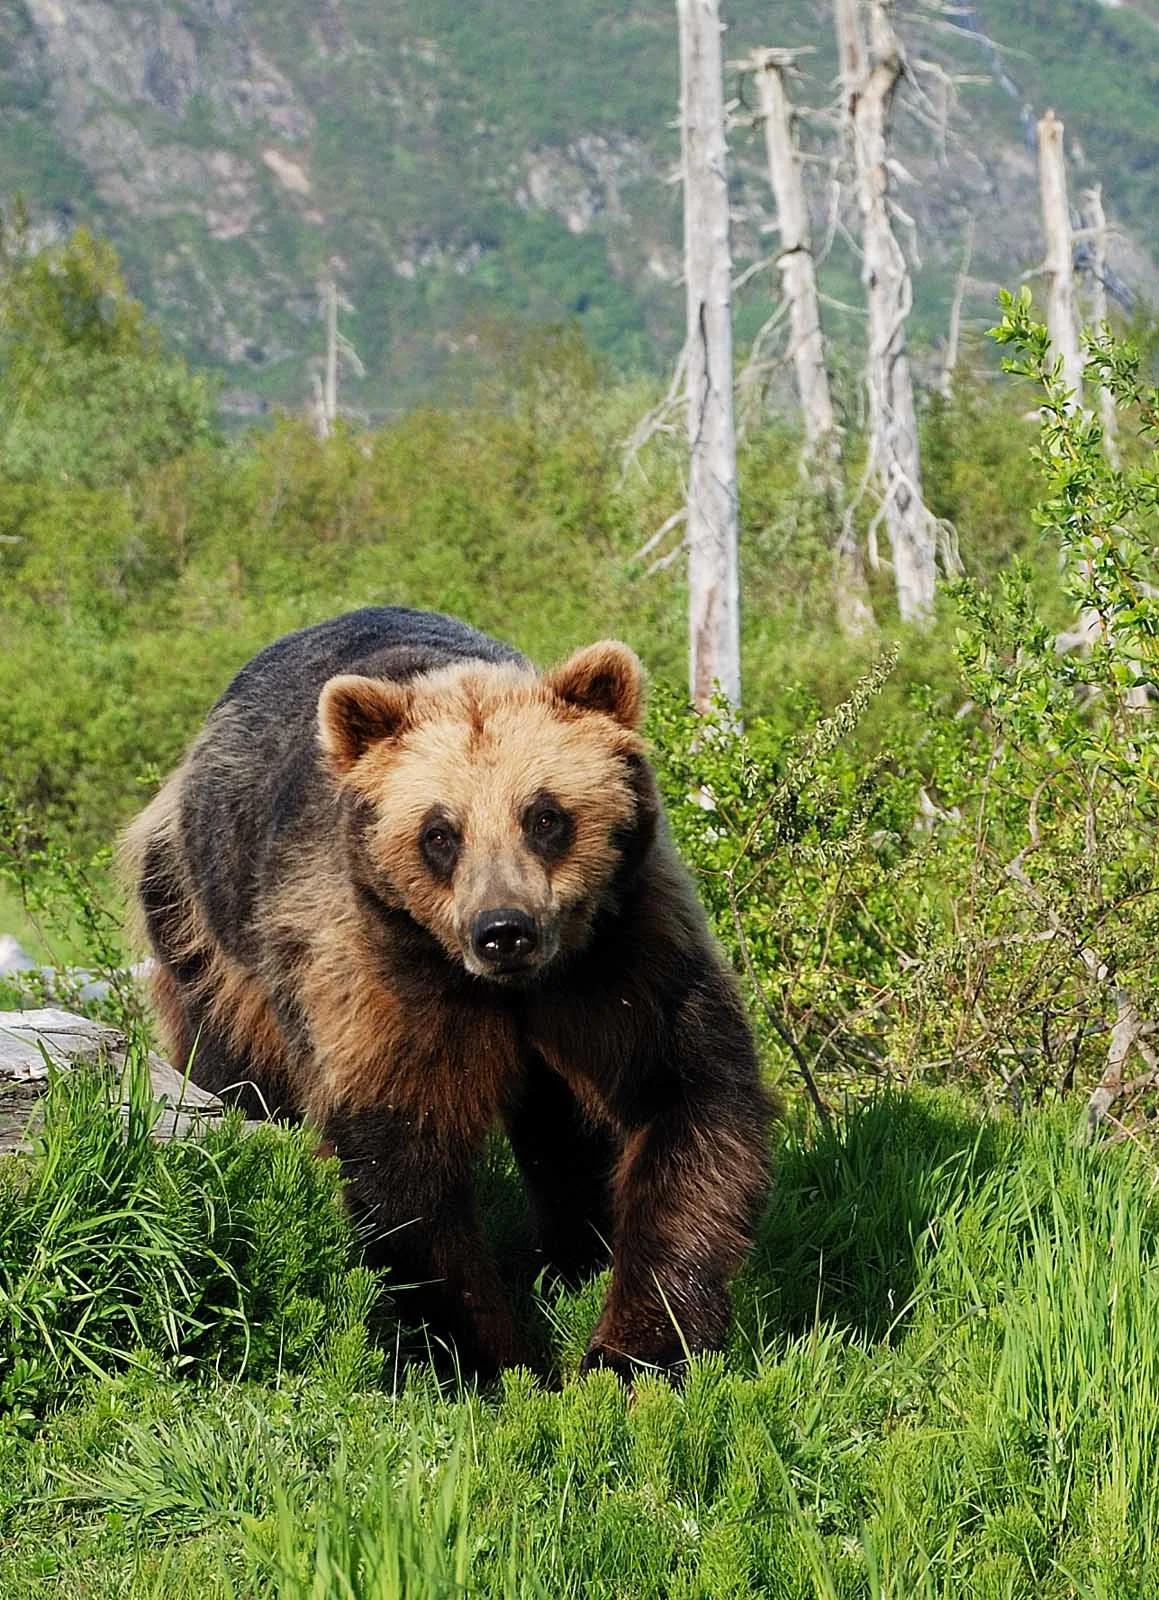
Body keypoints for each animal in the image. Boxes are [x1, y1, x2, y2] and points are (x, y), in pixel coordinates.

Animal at [121, 606, 773, 1383]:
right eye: (440, 832)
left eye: (545, 816)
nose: (503, 930)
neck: (510, 992)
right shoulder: (378, 972)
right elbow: (406, 1162)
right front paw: (486, 1360)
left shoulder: (621, 957)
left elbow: (685, 1099)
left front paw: (634, 1348)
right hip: (204, 923)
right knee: (233, 1067)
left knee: (559, 1125)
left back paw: (573, 1256)